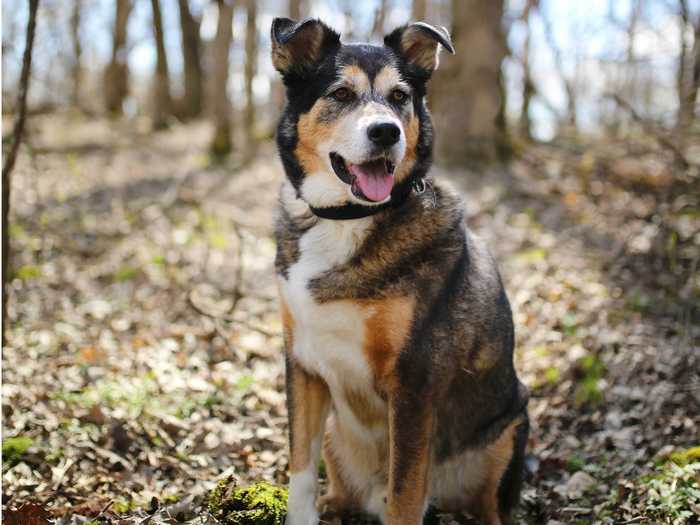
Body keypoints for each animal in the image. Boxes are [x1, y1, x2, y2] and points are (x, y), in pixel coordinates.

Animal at [270, 16, 528, 524]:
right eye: (341, 94)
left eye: (399, 96)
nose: (386, 133)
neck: (345, 220)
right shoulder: (302, 364)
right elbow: (301, 469)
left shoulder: (413, 381)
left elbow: (406, 493)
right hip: (337, 437)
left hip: (510, 427)